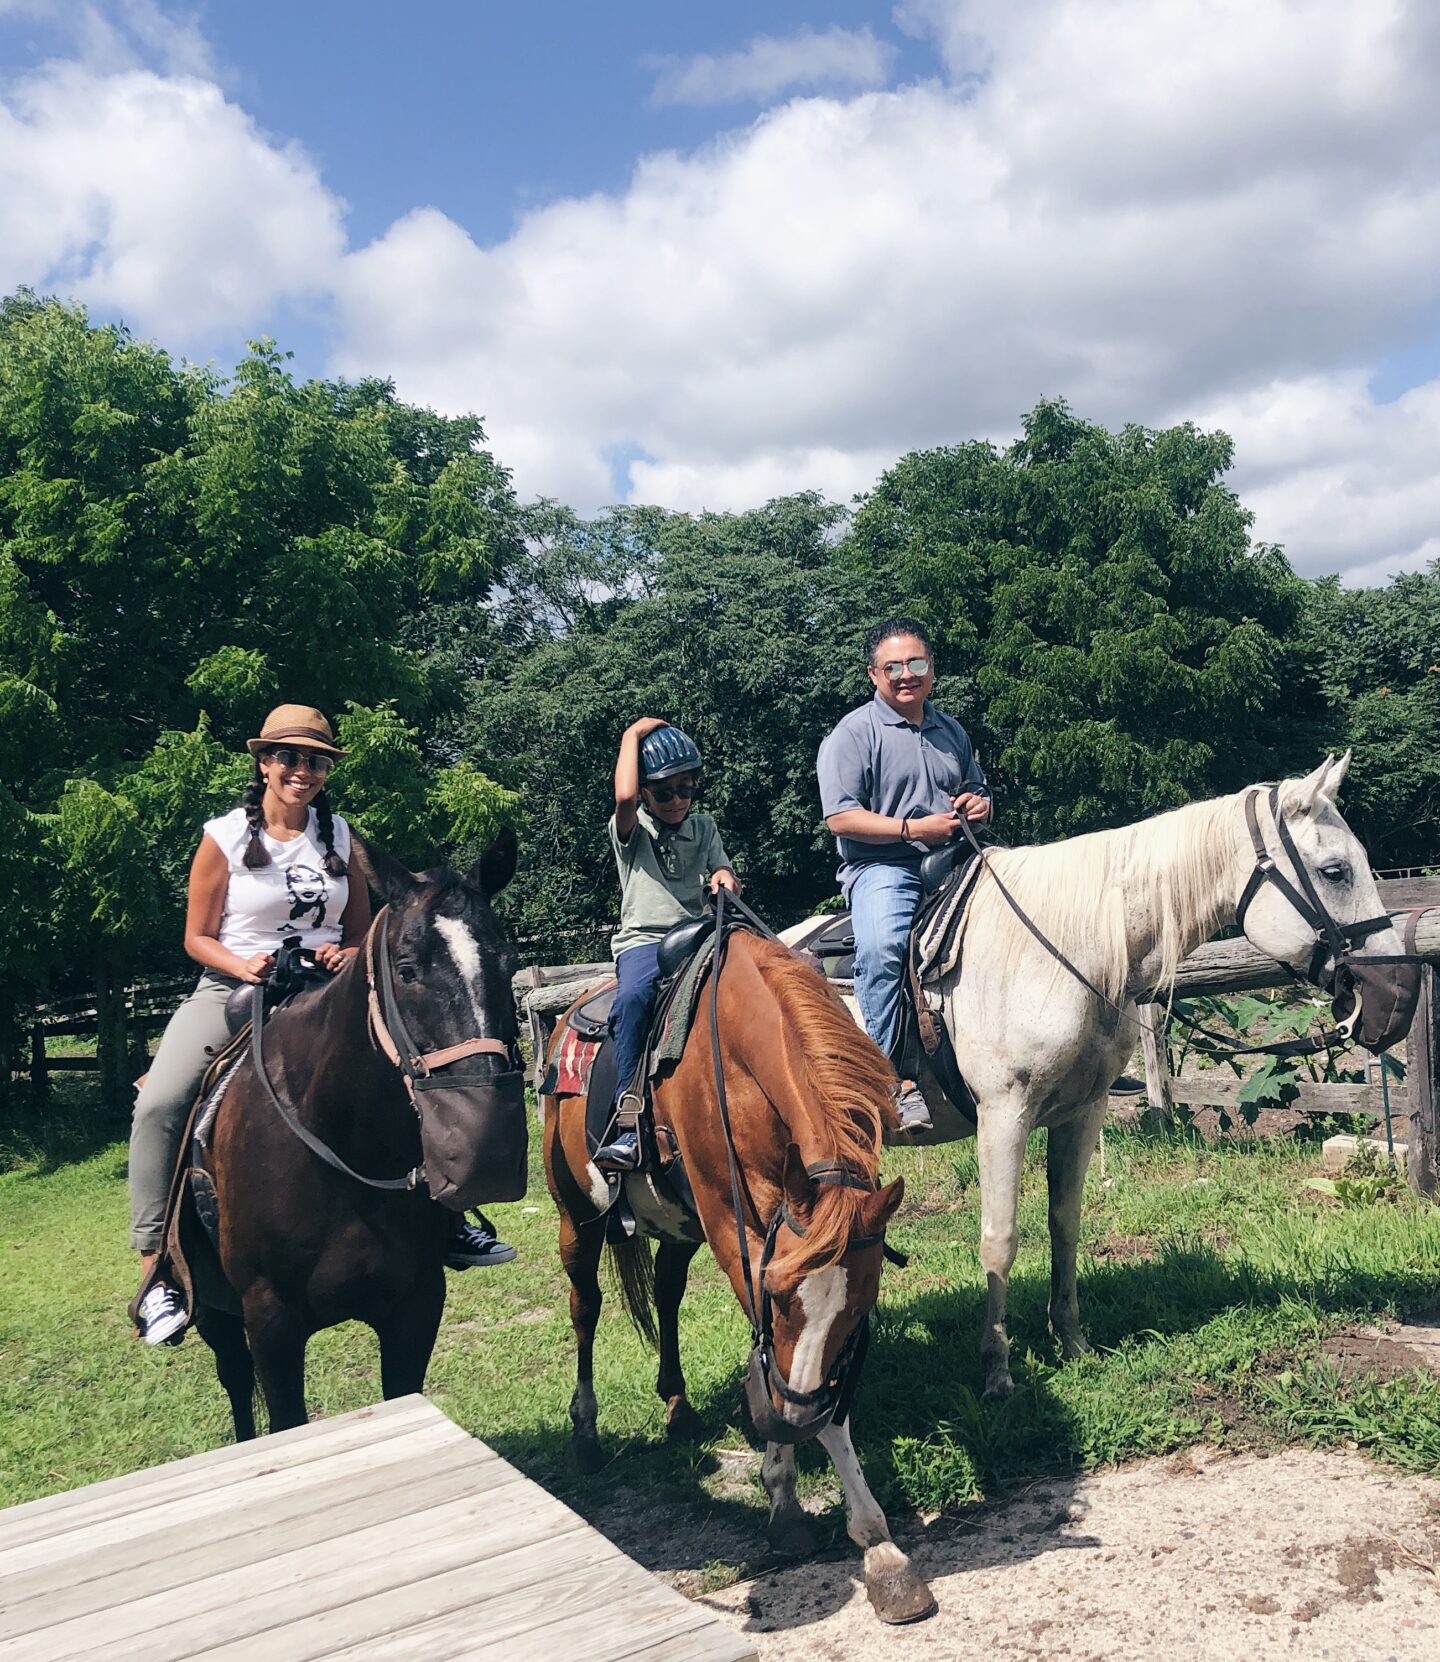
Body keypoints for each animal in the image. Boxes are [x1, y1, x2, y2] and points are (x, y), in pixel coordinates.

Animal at [189, 837, 522, 1435]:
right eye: (407, 970)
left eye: (508, 964)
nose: (487, 1151)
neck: (339, 1147)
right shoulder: (271, 1324)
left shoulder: (415, 1306)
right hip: (214, 1313)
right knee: (235, 1382)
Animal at [538, 930, 931, 1628]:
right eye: (779, 1302)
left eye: (862, 1309)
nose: (795, 1420)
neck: (739, 1046)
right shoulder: (734, 1229)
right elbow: (783, 1373)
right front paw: (818, 1518)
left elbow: (810, 1386)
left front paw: (860, 1536)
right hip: (575, 1214)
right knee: (586, 1306)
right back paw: (584, 1433)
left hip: (676, 1227)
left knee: (667, 1295)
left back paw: (678, 1408)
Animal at [784, 761, 1416, 1402]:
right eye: (1334, 871)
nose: (1399, 997)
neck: (1064, 948)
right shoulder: (1003, 1115)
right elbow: (999, 1239)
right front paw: (997, 1369)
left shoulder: (1080, 1113)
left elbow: (1065, 1224)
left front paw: (1071, 1343)